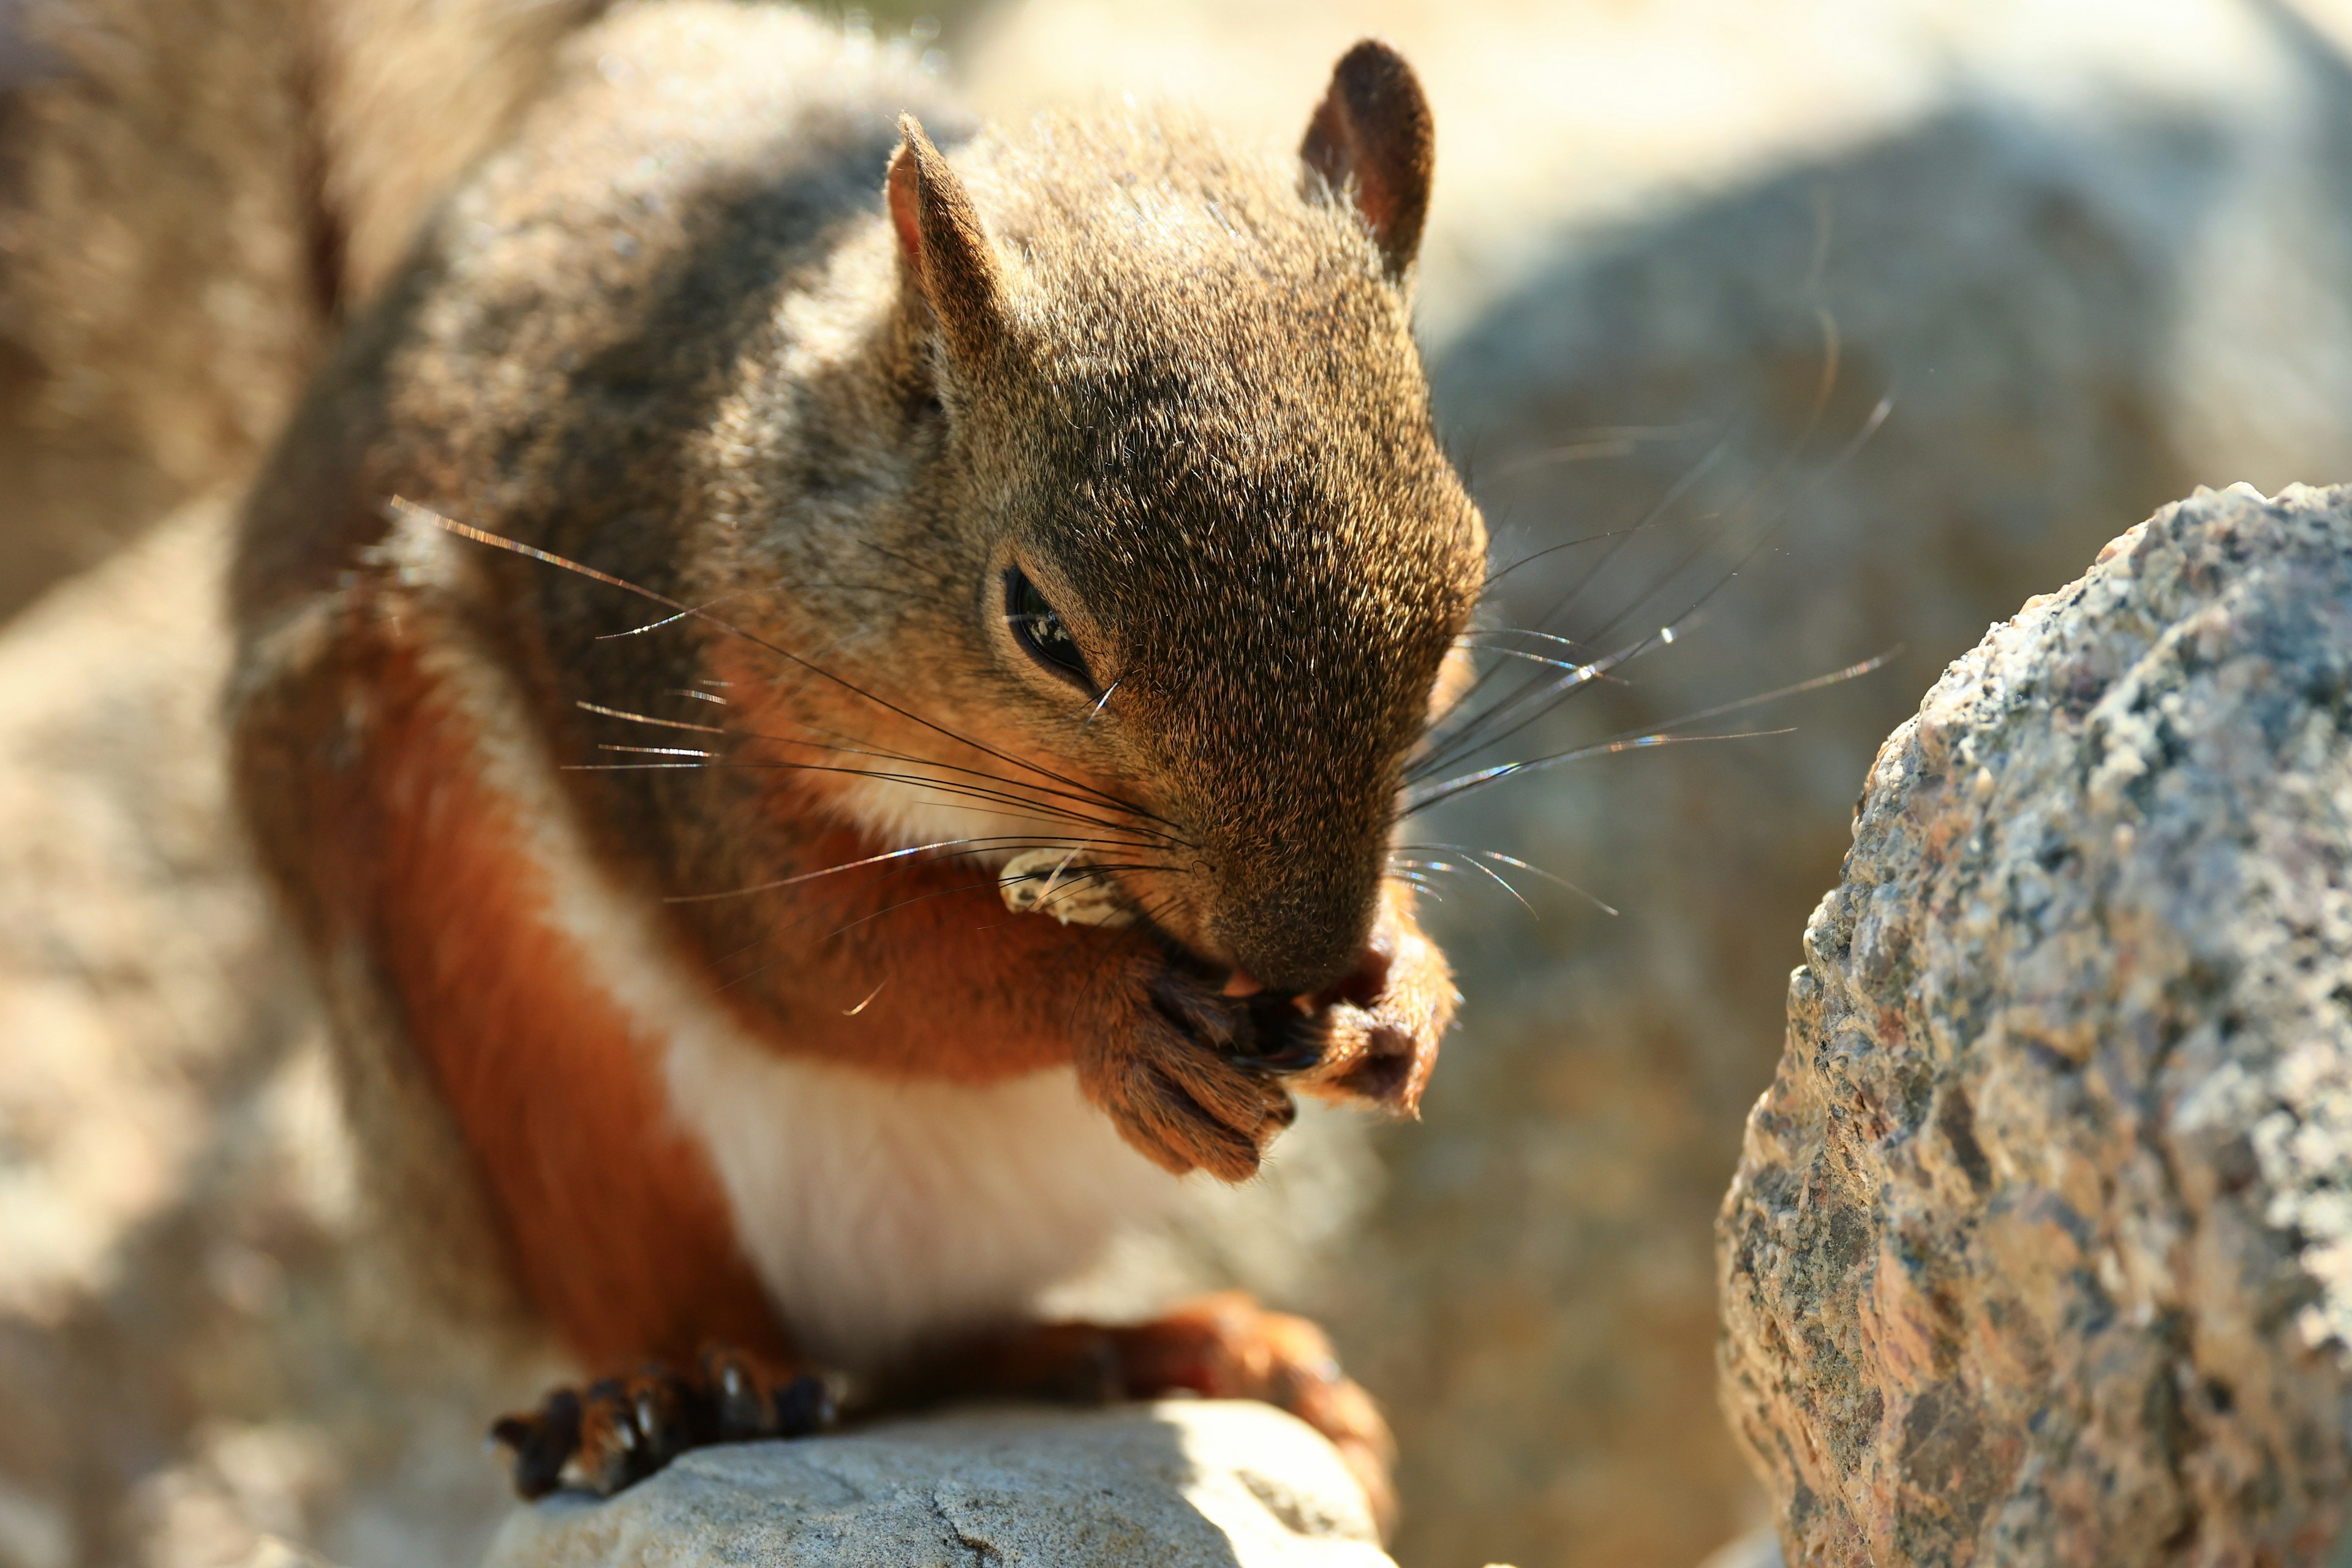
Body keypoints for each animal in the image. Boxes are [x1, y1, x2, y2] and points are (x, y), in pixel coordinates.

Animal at [221, 0, 1477, 1523]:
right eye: (1041, 624)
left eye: (1463, 583)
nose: (1303, 953)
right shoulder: (686, 737)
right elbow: (824, 959)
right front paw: (1111, 1010)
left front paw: (1405, 987)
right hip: (484, 961)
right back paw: (676, 1383)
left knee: (947, 1353)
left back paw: (1177, 1349)